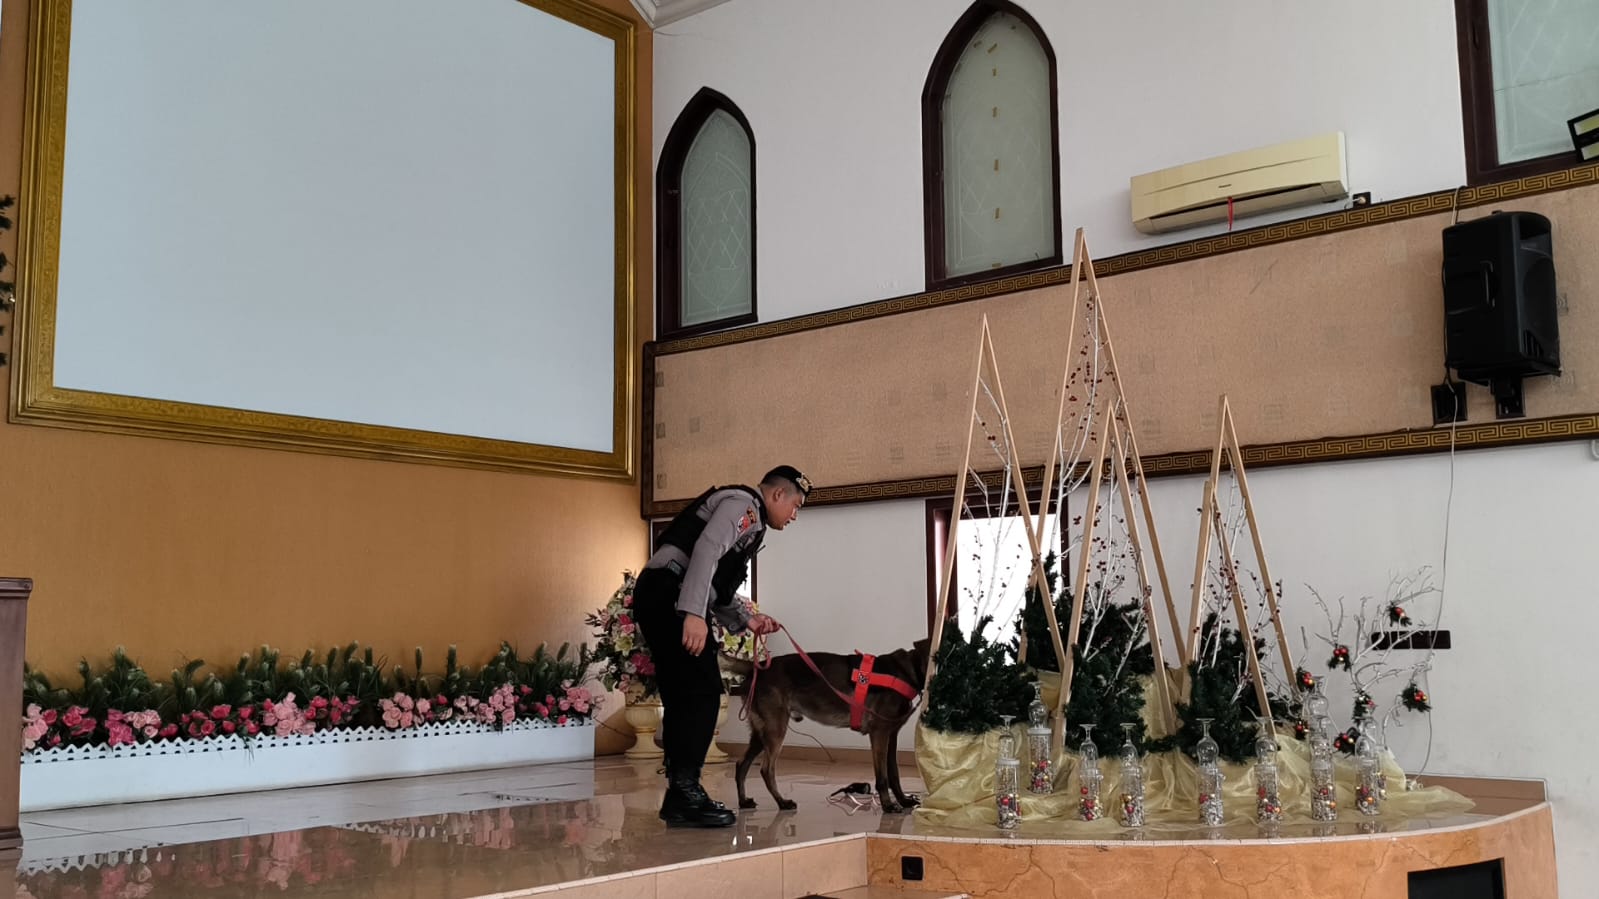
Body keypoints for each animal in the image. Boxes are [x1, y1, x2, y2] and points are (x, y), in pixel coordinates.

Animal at [723, 637, 931, 814]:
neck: (907, 671)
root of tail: (756, 668)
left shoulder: (891, 735)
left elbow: (894, 773)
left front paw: (903, 800)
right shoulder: (879, 733)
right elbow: (883, 776)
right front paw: (888, 805)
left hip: (761, 733)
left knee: (742, 764)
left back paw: (743, 801)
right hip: (775, 730)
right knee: (766, 769)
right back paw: (782, 802)